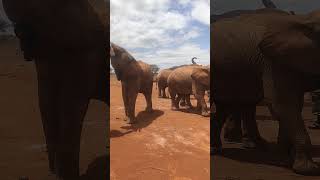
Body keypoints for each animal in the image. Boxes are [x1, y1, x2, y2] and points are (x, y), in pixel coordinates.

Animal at [211, 9, 320, 175]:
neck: (303, 20)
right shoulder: (273, 62)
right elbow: (283, 106)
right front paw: (308, 170)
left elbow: (292, 107)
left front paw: (284, 159)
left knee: (226, 106)